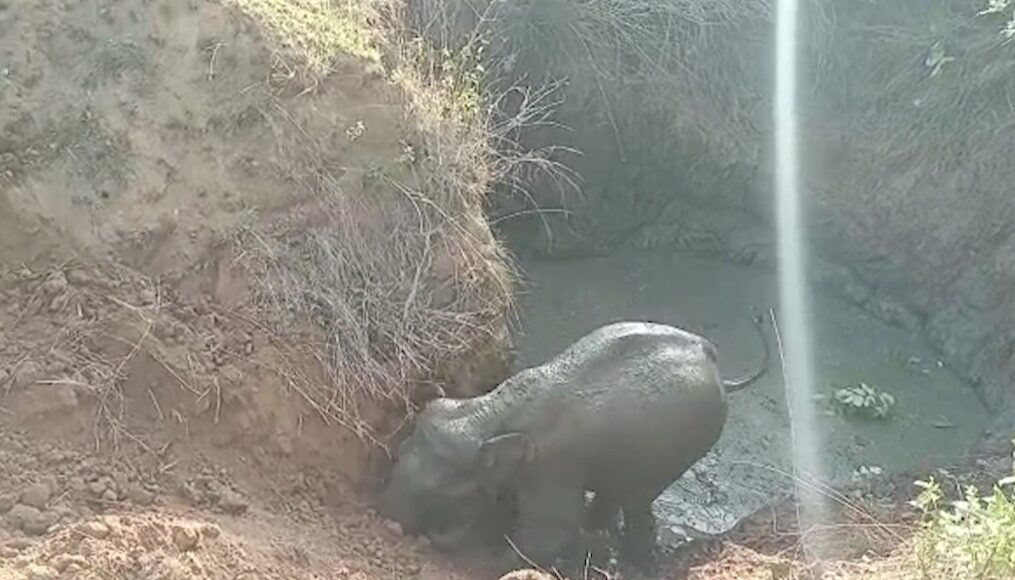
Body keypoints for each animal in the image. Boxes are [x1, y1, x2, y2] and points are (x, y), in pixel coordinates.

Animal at [379, 314, 767, 568]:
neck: (492, 409)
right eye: (399, 451)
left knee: (637, 498)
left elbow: (550, 535)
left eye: (439, 491)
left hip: (682, 445)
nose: (392, 525)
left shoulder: (552, 464)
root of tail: (713, 361)